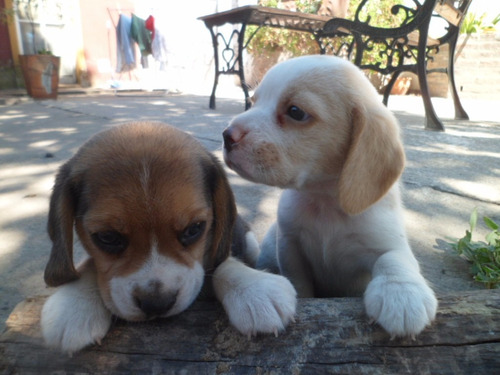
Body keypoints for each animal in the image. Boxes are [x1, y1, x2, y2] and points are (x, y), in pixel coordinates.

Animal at [42, 122, 296, 356]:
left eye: (194, 229)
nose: (157, 304)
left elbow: (222, 263)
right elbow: (90, 263)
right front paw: (76, 303)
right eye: (107, 237)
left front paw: (253, 288)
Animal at [223, 56, 438, 340]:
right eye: (253, 101)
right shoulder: (290, 248)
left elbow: (394, 259)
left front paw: (402, 294)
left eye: (295, 111)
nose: (227, 135)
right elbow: (301, 287)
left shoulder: (387, 243)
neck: (324, 200)